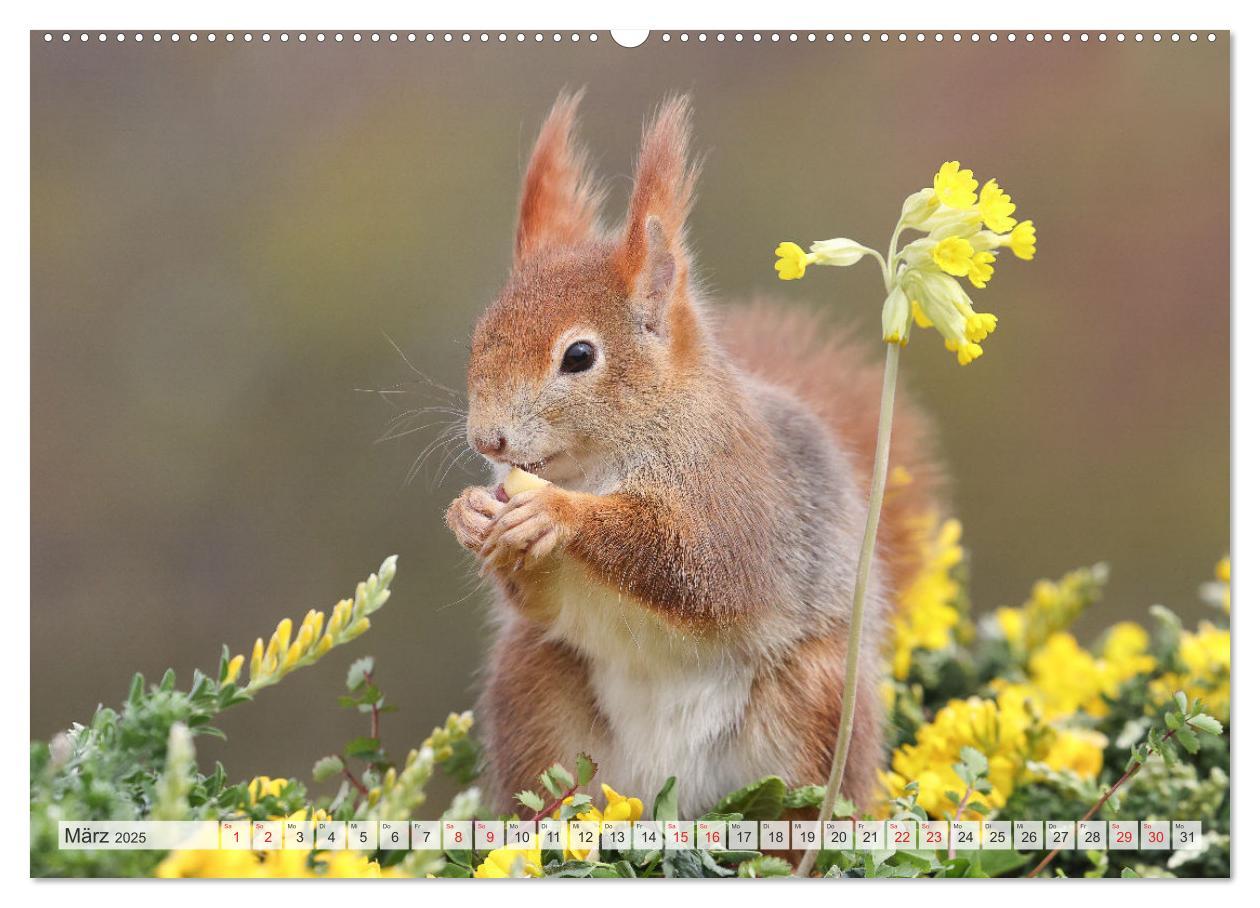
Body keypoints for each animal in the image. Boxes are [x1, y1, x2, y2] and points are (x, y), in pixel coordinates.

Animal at [448, 95, 942, 816]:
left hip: (810, 709)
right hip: (536, 693)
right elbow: (540, 605)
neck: (602, 461)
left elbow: (695, 563)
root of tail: (666, 792)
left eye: (579, 356)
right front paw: (467, 514)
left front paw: (556, 515)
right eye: (482, 335)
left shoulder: (738, 501)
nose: (488, 441)